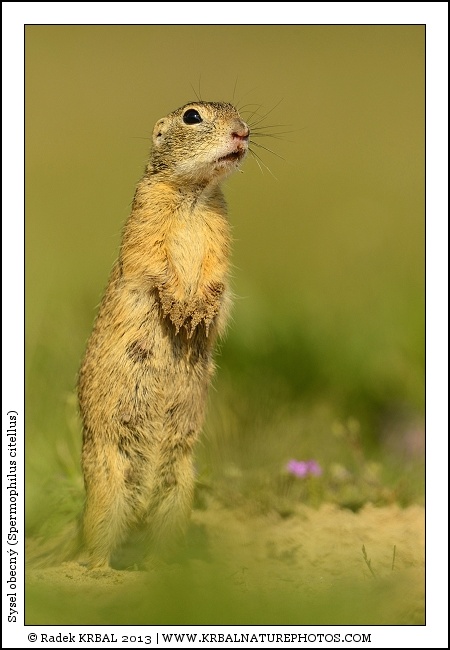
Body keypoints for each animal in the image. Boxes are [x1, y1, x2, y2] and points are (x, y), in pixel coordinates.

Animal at [77, 101, 250, 569]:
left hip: (179, 490)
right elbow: (154, 263)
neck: (194, 193)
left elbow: (217, 272)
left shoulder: (222, 232)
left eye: (237, 111)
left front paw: (198, 312)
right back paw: (99, 572)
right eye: (192, 116)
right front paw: (179, 308)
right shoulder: (146, 218)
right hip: (107, 487)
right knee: (98, 538)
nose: (243, 132)